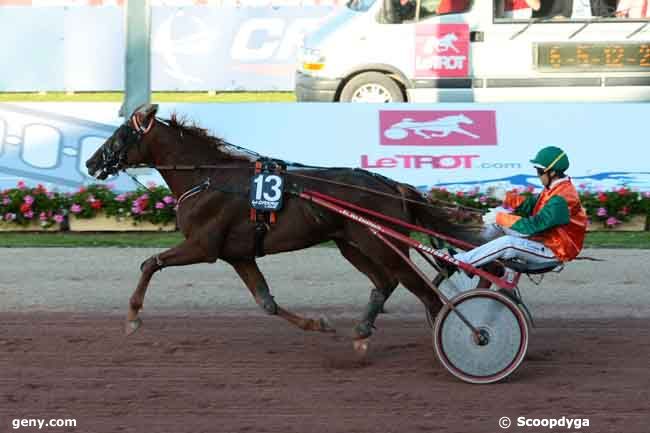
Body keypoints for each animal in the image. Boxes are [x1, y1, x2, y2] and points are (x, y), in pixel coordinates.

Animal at [85, 104, 476, 354]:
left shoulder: (203, 246)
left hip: (382, 244)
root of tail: (392, 185)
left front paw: (133, 318)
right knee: (385, 282)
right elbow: (267, 303)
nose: (90, 163)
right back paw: (363, 331)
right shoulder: (238, 255)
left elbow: (150, 263)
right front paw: (318, 325)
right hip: (351, 243)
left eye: (120, 135)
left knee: (424, 293)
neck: (207, 177)